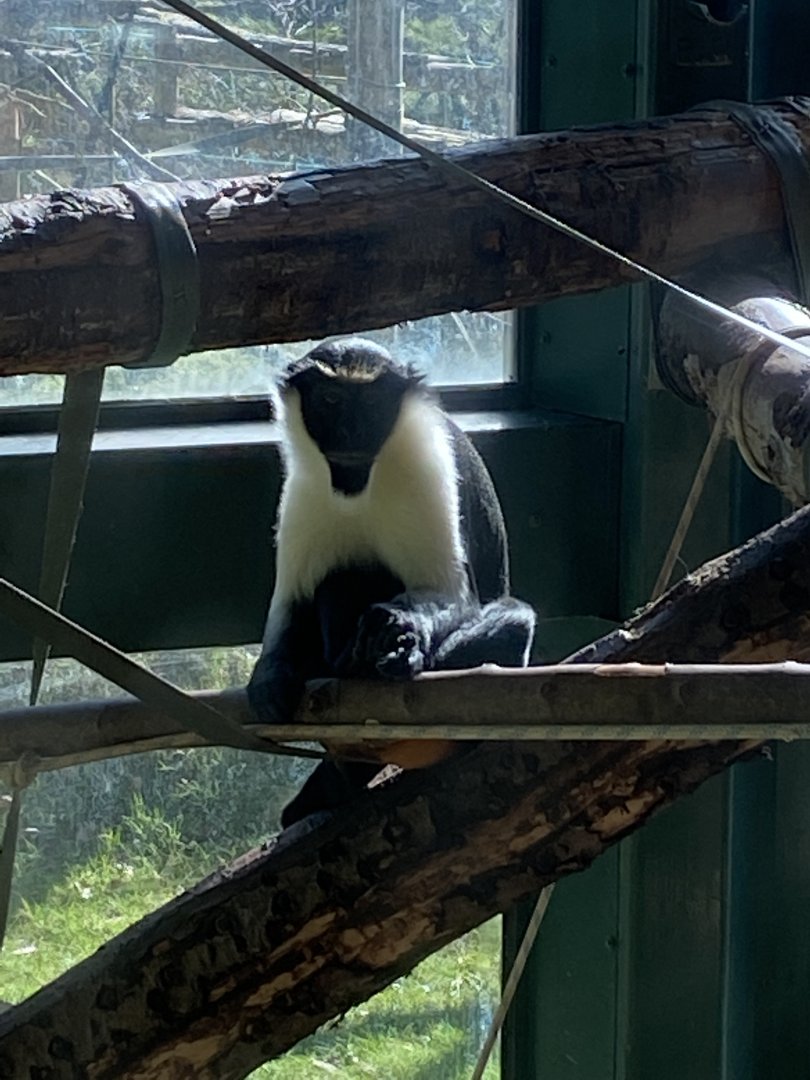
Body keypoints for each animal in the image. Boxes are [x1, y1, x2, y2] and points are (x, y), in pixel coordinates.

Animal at [248, 337, 536, 826]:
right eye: (331, 399)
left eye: (370, 403)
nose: (350, 432)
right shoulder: (304, 491)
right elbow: (292, 603)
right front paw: (268, 675)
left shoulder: (430, 467)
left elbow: (452, 597)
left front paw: (402, 632)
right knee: (341, 576)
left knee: (514, 622)